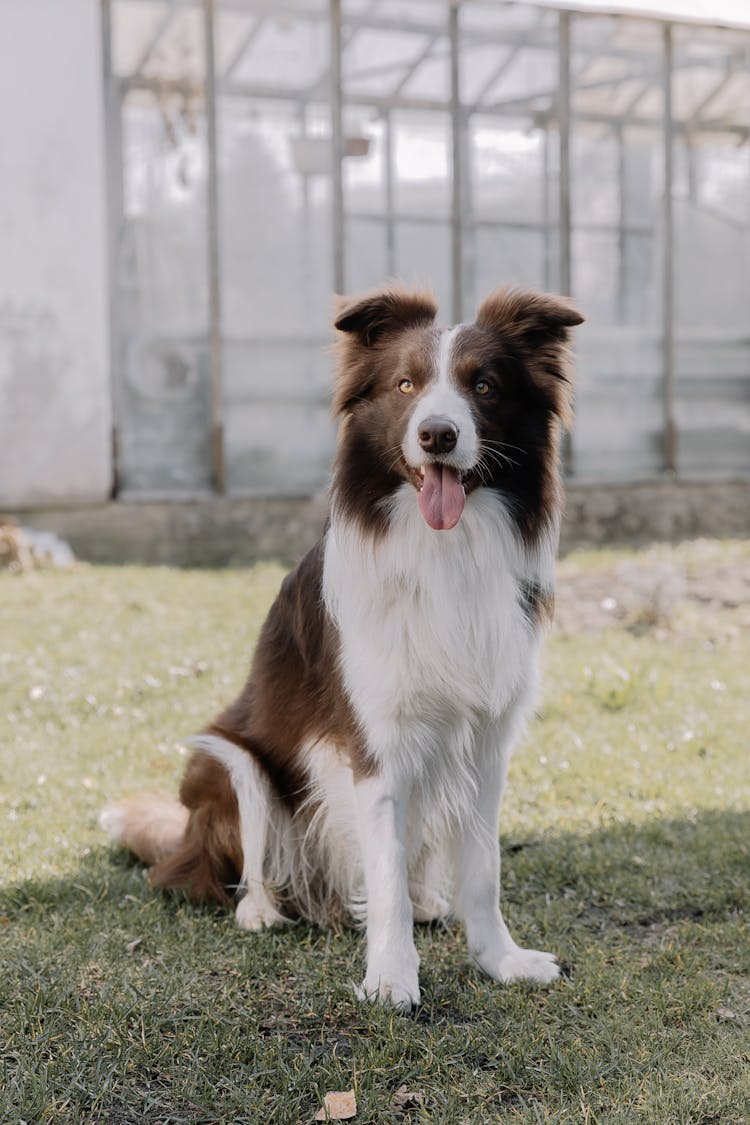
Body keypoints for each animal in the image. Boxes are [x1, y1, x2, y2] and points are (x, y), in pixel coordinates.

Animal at [99, 281, 584, 1012]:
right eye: (406, 384)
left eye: (485, 386)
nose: (437, 434)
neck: (444, 549)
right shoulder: (374, 745)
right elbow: (382, 875)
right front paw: (391, 977)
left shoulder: (486, 741)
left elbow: (484, 868)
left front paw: (499, 960)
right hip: (227, 759)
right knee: (225, 861)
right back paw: (261, 909)